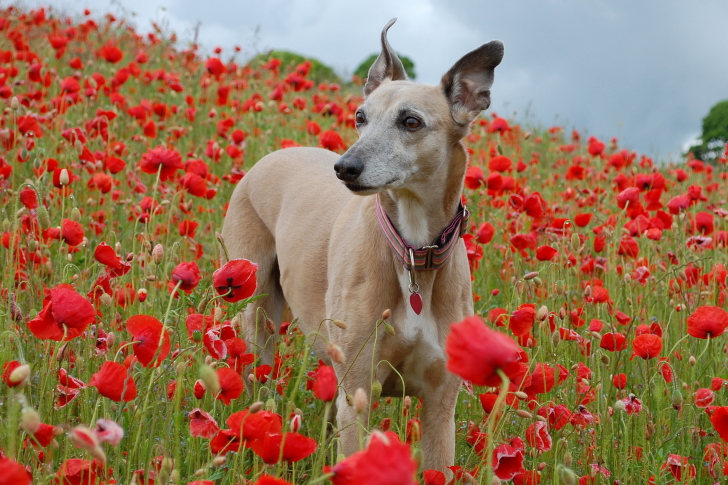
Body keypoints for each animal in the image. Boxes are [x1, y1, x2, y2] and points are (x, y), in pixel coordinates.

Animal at [222, 19, 504, 472]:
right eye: (360, 116)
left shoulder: (440, 406)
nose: (344, 167)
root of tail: (269, 157)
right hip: (255, 314)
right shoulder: (358, 392)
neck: (413, 253)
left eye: (411, 121)